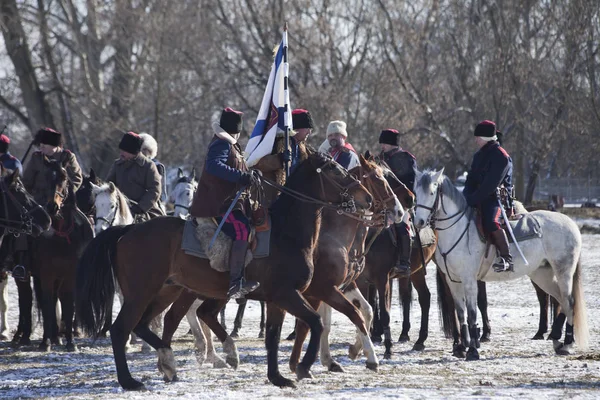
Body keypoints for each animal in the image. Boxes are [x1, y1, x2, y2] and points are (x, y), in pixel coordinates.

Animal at [75, 152, 376, 390]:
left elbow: (274, 336)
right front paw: (302, 367)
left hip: (166, 291)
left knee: (149, 324)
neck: (287, 233)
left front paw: (278, 377)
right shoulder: (288, 294)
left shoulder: (279, 299)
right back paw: (131, 381)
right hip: (141, 293)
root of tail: (127, 231)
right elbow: (315, 322)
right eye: (335, 169)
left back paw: (170, 361)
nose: (368, 197)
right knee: (121, 329)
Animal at [414, 169, 588, 360]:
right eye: (416, 193)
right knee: (561, 300)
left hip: (563, 272)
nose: (419, 222)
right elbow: (460, 313)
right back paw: (557, 340)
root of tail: (570, 222)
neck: (458, 229)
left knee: (569, 301)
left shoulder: (469, 280)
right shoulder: (453, 282)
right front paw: (461, 347)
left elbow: (472, 313)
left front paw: (473, 350)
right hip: (542, 275)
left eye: (432, 193)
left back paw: (567, 343)